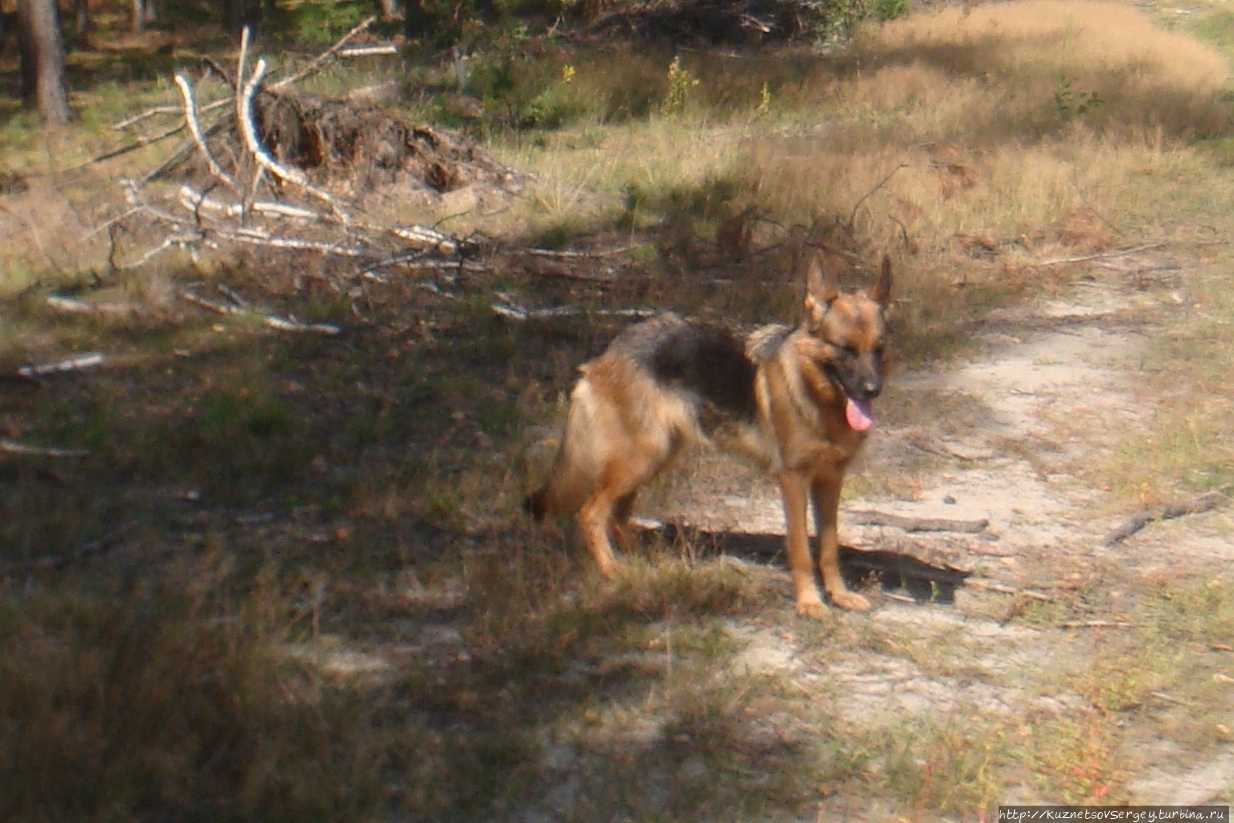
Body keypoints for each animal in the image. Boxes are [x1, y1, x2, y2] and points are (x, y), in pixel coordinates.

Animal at [525, 251, 893, 616]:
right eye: (844, 349)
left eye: (877, 349)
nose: (873, 390)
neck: (816, 393)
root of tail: (611, 348)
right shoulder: (794, 480)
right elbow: (802, 549)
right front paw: (809, 602)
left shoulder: (830, 481)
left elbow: (829, 548)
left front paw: (839, 594)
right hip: (640, 459)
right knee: (590, 514)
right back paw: (611, 569)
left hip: (653, 458)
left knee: (617, 515)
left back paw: (641, 563)